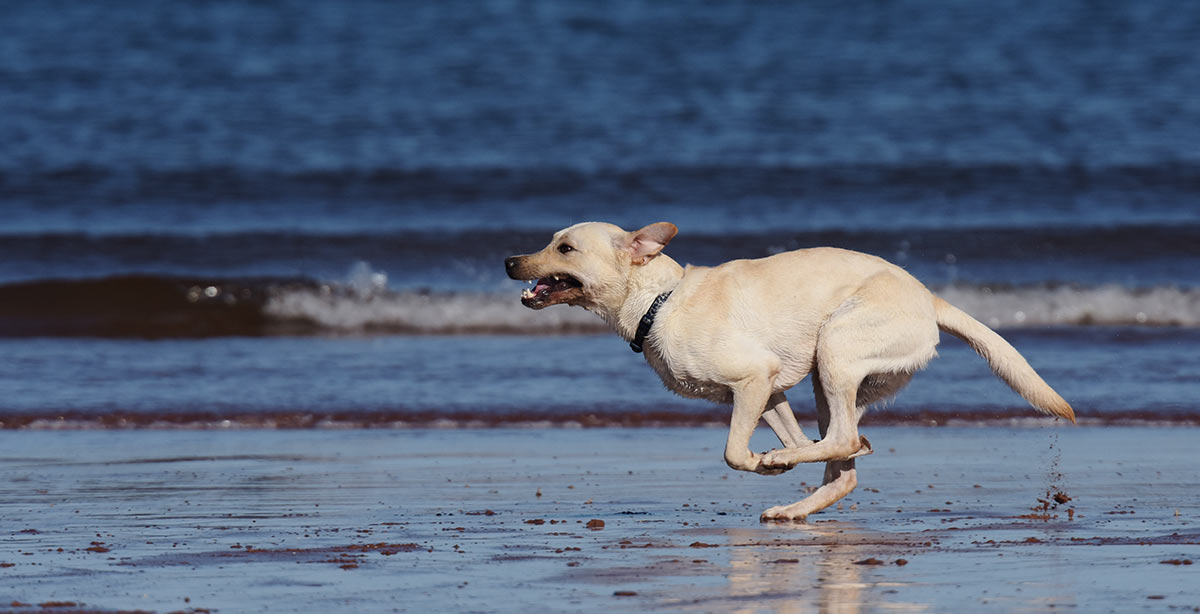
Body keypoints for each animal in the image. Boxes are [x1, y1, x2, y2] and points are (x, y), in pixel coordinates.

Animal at [501, 223, 1075, 520]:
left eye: (564, 248)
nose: (508, 261)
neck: (659, 302)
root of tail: (929, 298)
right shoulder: (768, 391)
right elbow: (786, 440)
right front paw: (781, 463)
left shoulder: (753, 379)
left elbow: (734, 453)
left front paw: (766, 463)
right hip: (828, 378)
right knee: (845, 461)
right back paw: (795, 506)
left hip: (836, 349)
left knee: (844, 440)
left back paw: (787, 467)